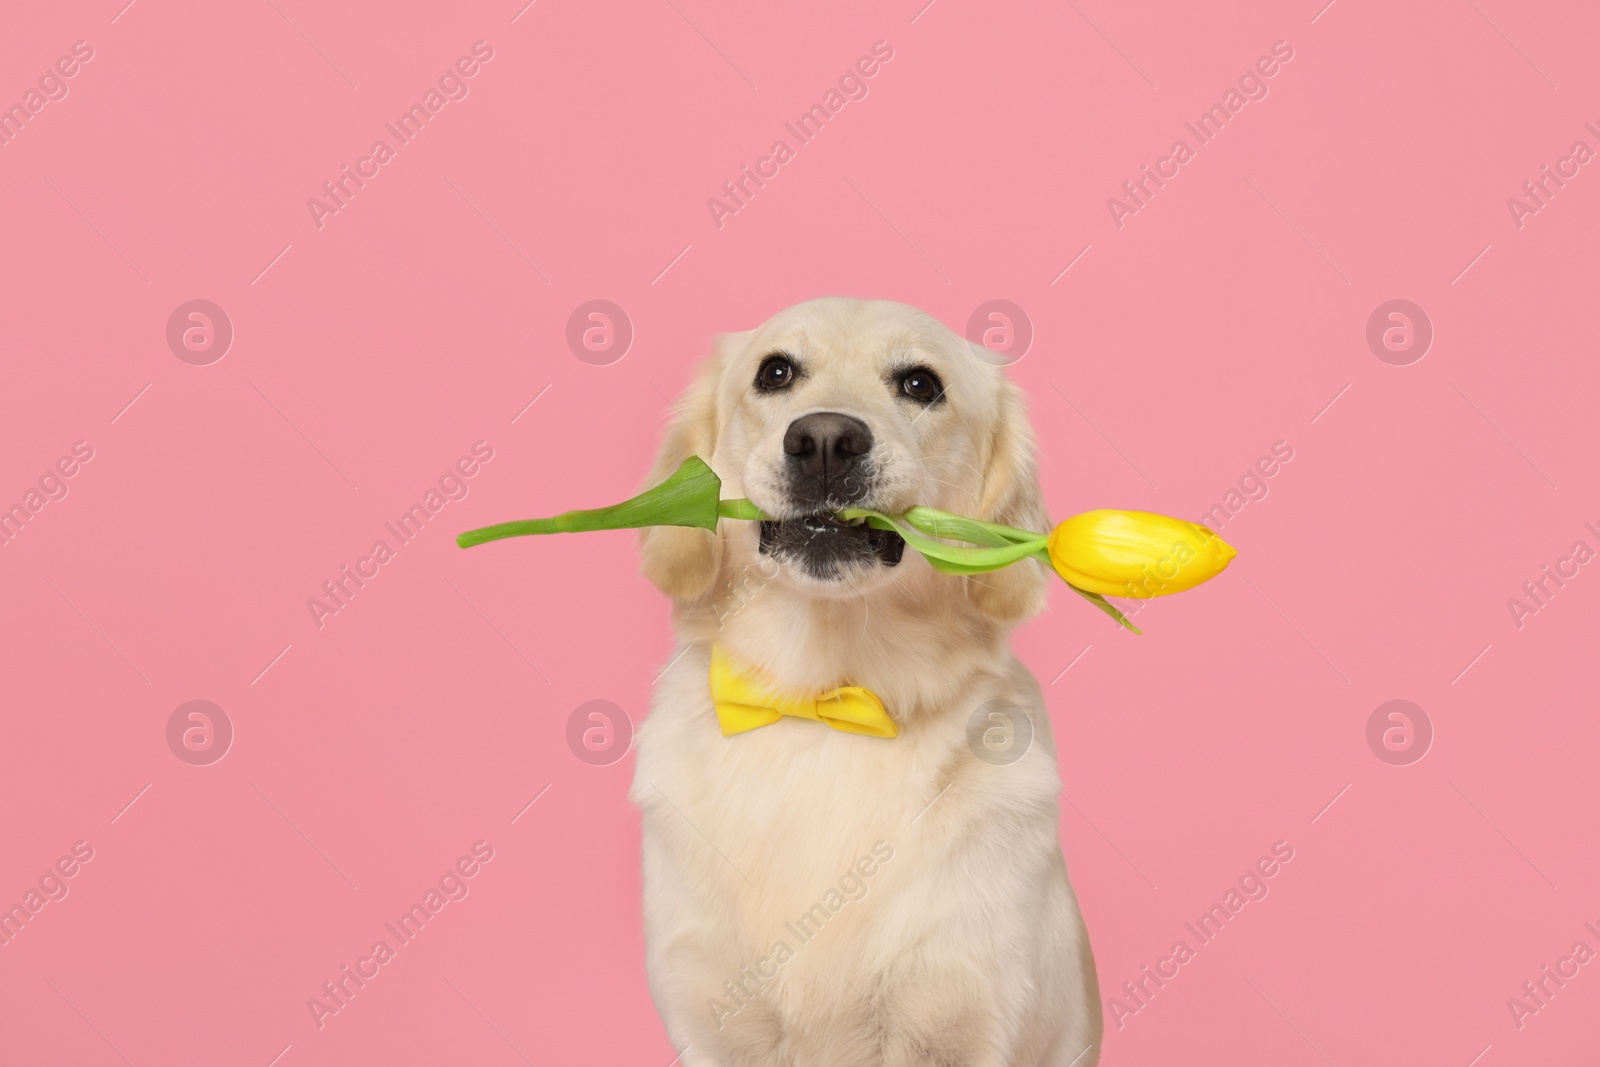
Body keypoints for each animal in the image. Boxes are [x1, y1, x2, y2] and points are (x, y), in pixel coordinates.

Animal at [624, 295, 1100, 1062]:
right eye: (776, 372)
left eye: (920, 384)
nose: (824, 440)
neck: (826, 697)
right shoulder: (711, 1019)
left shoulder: (964, 1014)